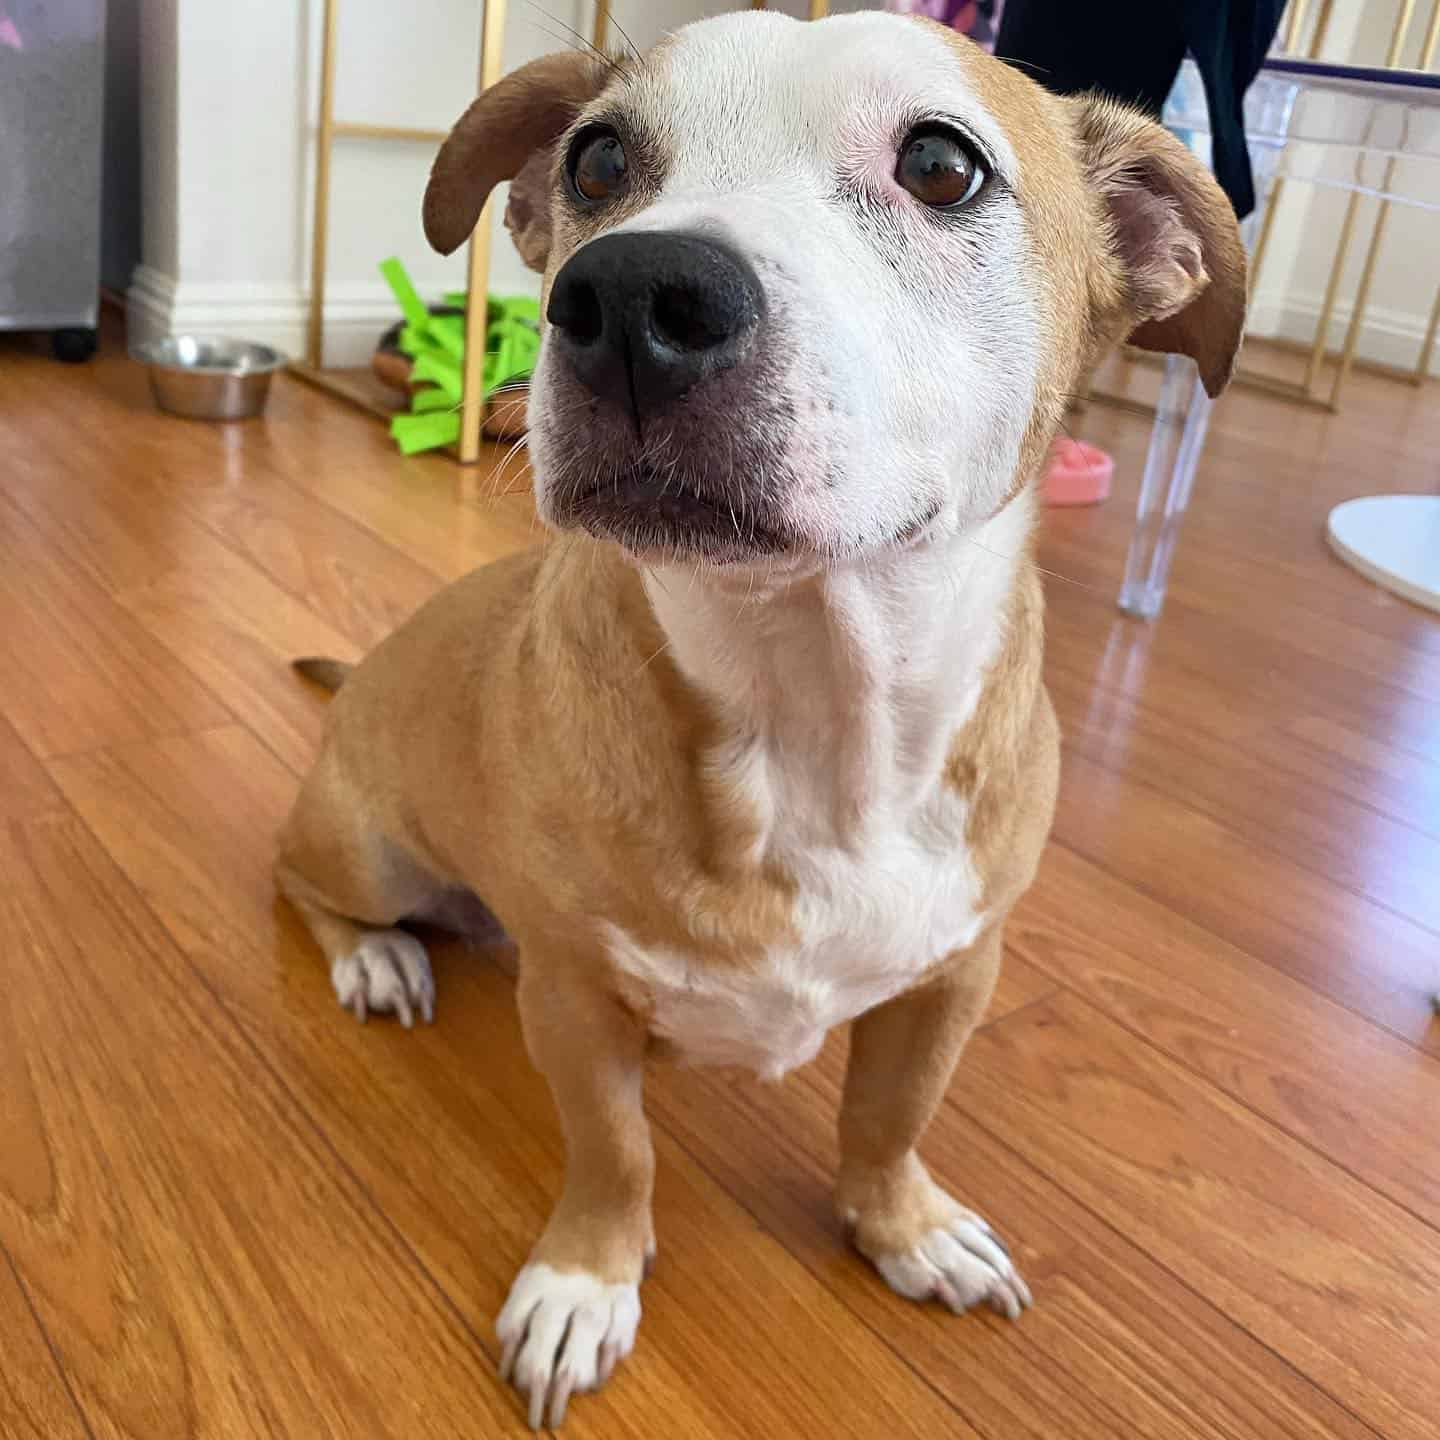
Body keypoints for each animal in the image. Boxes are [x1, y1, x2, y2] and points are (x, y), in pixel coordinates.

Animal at [275, 11, 1244, 1428]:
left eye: (942, 166)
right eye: (598, 160)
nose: (628, 297)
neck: (814, 707)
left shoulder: (955, 978)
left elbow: (888, 1120)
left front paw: (905, 1227)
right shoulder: (575, 1002)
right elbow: (614, 1153)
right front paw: (585, 1282)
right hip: (366, 849)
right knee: (300, 885)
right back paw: (374, 958)